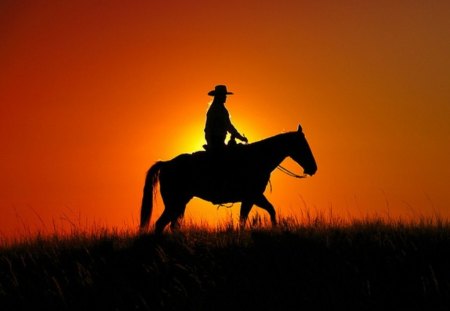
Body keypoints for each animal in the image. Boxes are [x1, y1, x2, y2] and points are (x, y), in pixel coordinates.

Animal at [140, 124, 316, 234]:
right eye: (303, 145)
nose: (313, 168)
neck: (258, 158)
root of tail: (166, 163)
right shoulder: (252, 197)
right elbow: (249, 217)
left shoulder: (253, 197)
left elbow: (266, 212)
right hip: (174, 203)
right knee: (161, 224)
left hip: (180, 203)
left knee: (172, 225)